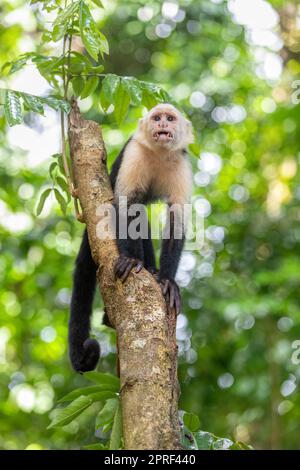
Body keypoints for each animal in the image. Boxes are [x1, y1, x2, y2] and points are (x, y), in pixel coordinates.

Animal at [69, 103, 193, 370]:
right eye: (156, 118)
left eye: (170, 118)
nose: (162, 124)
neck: (159, 153)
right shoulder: (134, 152)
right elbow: (129, 205)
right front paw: (133, 262)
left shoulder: (181, 162)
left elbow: (176, 220)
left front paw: (168, 281)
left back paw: (154, 271)